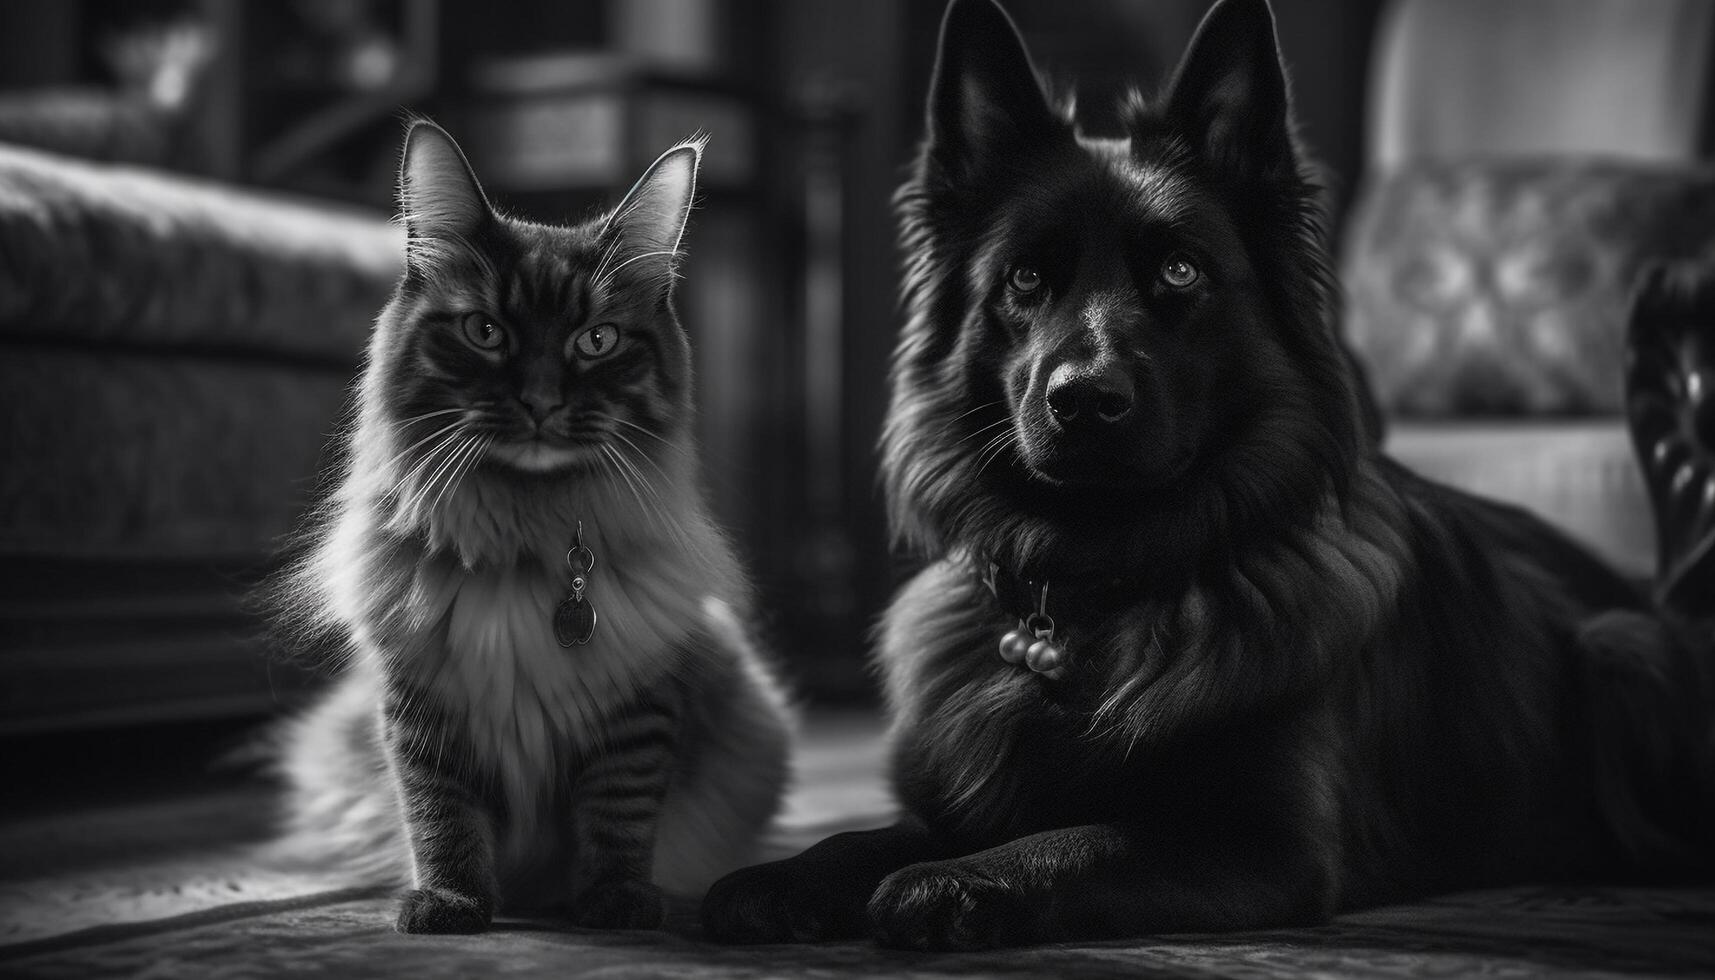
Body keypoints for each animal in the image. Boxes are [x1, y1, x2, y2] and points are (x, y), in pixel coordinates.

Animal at [265, 120, 795, 933]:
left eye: (597, 341)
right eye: (486, 331)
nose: (542, 401)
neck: (522, 539)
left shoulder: (637, 706)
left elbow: (618, 814)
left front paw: (614, 904)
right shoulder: (422, 707)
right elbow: (440, 817)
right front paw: (451, 904)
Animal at [696, 0, 1715, 954]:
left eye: (1181, 272)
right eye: (1024, 281)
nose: (1083, 399)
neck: (1097, 600)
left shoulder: (1262, 846)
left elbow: (1084, 837)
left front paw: (956, 882)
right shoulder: (968, 788)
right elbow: (877, 835)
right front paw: (789, 872)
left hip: (1622, 650)